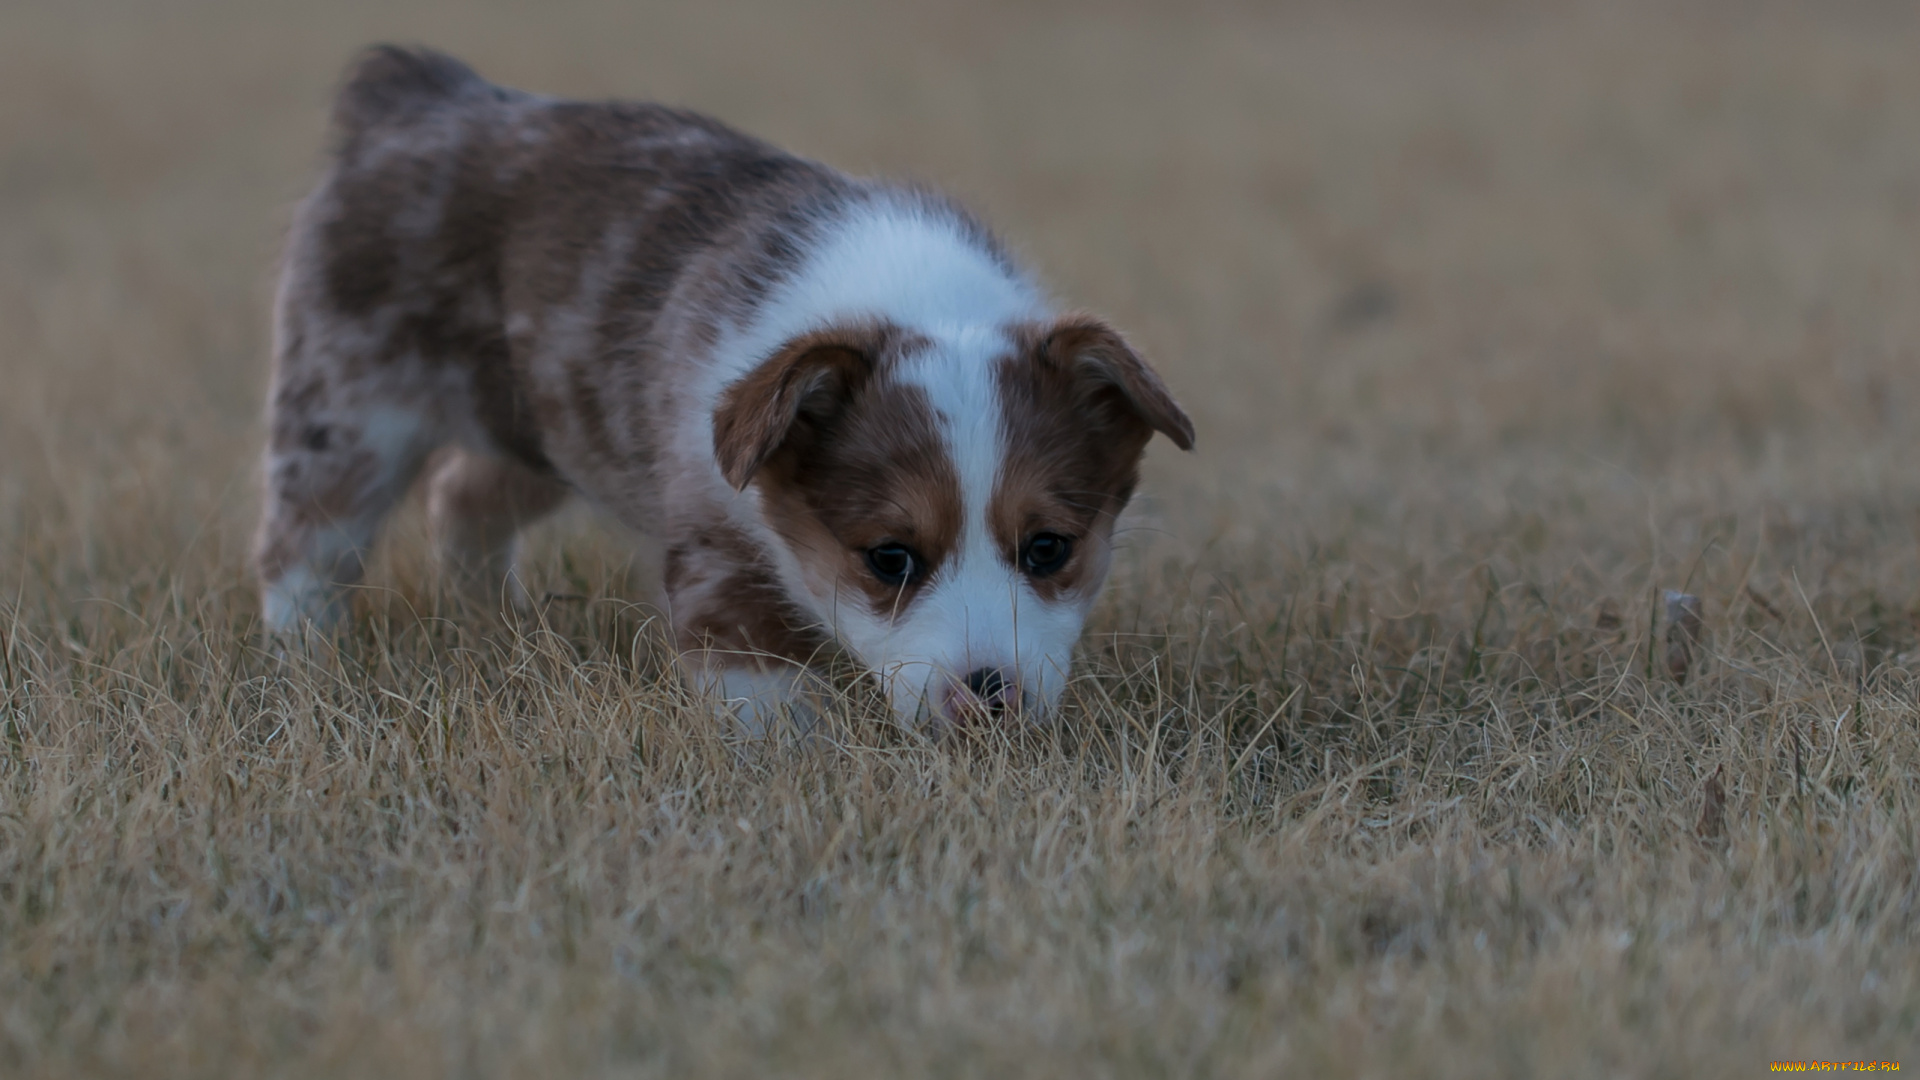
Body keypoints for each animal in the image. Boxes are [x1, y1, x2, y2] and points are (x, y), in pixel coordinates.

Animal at [255, 46, 1182, 726]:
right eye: (889, 558)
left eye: (1049, 548)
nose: (989, 698)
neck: (915, 300)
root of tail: (415, 96)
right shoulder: (714, 550)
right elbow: (760, 688)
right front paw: (791, 759)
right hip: (346, 407)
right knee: (304, 541)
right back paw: (305, 658)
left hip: (544, 423)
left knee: (462, 498)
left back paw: (501, 620)